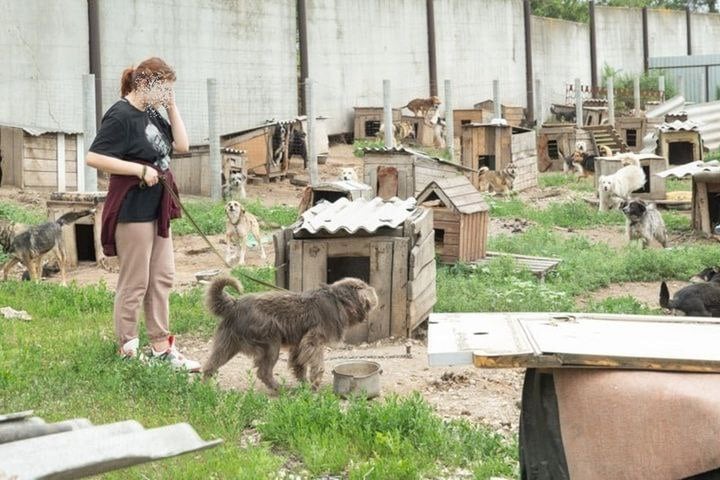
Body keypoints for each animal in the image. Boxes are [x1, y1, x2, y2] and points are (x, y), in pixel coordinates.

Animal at [200, 276, 380, 392]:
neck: (339, 301)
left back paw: (205, 390)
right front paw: (315, 383)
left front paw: (304, 384)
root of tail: (234, 304)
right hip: (271, 343)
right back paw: (278, 388)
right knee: (263, 372)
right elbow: (318, 364)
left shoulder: (298, 344)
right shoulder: (313, 341)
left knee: (209, 366)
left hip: (227, 345)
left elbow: (299, 365)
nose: (374, 289)